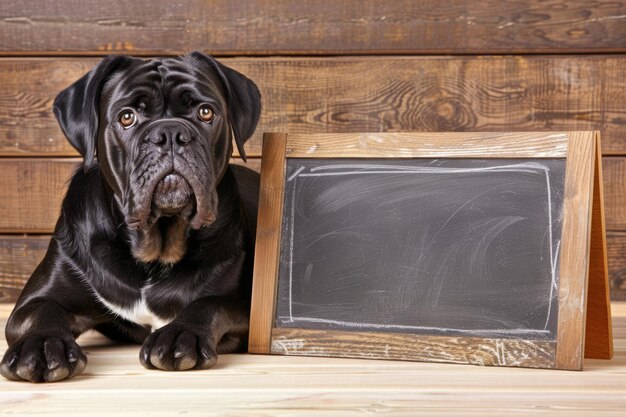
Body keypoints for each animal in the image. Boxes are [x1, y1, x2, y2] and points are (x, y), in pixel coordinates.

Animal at [0, 51, 260, 380]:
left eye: (205, 112)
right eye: (127, 117)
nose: (170, 133)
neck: (154, 252)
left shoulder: (250, 309)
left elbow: (211, 303)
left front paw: (180, 334)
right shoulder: (35, 300)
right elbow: (42, 312)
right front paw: (42, 345)